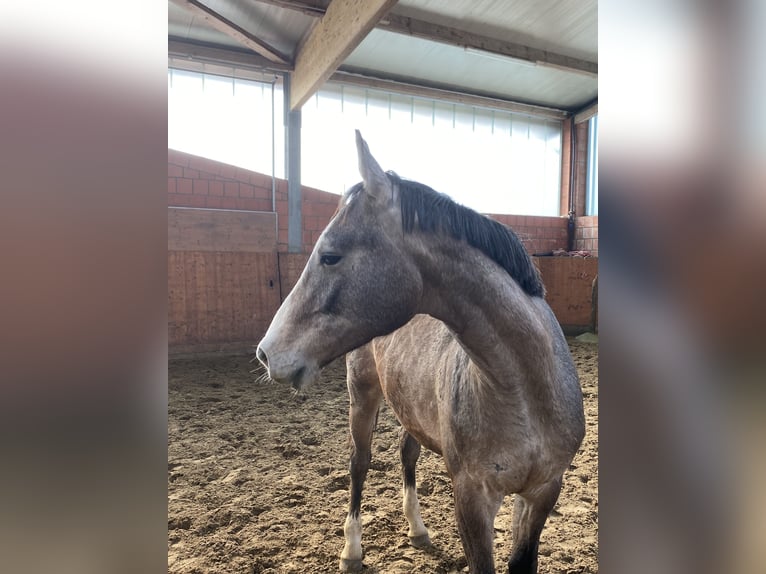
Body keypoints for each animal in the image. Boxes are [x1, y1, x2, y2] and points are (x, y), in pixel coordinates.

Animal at [256, 131, 585, 573]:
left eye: (330, 255)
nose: (267, 353)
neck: (525, 393)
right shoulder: (472, 499)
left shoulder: (542, 492)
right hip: (363, 397)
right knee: (359, 463)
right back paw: (352, 549)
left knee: (406, 453)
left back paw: (416, 528)